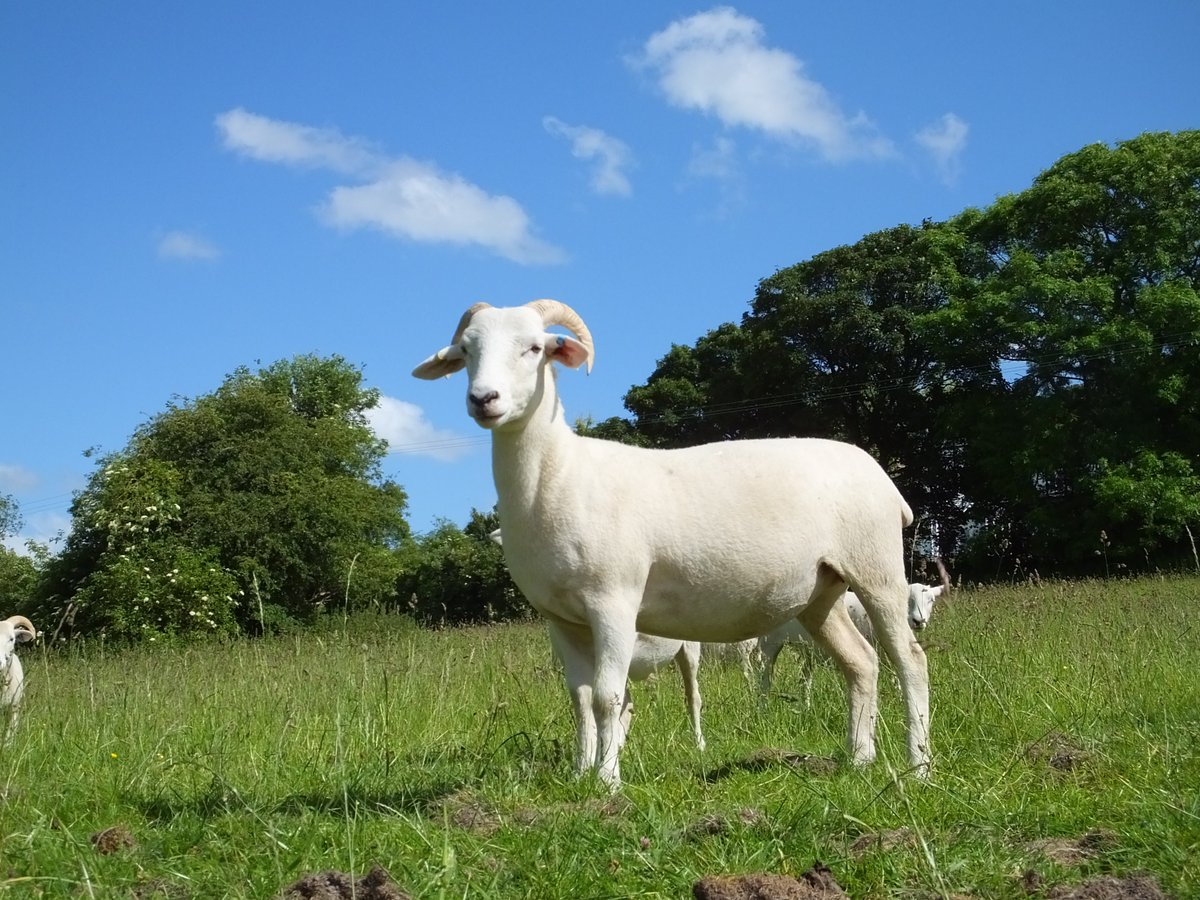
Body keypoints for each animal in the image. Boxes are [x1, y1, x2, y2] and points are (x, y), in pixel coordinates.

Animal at [414, 300, 930, 788]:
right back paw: (859, 759)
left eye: (536, 348)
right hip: (820, 592)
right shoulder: (561, 619)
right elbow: (579, 698)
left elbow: (608, 697)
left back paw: (919, 766)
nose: (484, 399)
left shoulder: (614, 602)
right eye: (466, 351)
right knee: (861, 663)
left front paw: (608, 782)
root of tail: (880, 476)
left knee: (910, 660)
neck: (559, 475)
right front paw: (579, 775)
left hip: (876, 569)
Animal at [760, 564, 950, 701]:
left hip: (807, 652)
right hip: (769, 643)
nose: (919, 621)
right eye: (907, 599)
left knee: (804, 680)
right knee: (764, 678)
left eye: (931, 600)